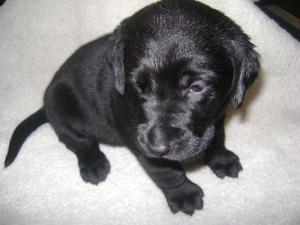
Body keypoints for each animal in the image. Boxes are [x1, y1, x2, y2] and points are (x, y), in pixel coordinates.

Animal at [4, 0, 258, 215]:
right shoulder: (141, 143)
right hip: (61, 107)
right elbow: (167, 172)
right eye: (139, 85)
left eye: (196, 87)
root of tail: (45, 103)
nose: (156, 145)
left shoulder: (217, 116)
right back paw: (93, 164)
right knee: (78, 142)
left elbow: (217, 138)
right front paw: (183, 194)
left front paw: (221, 159)